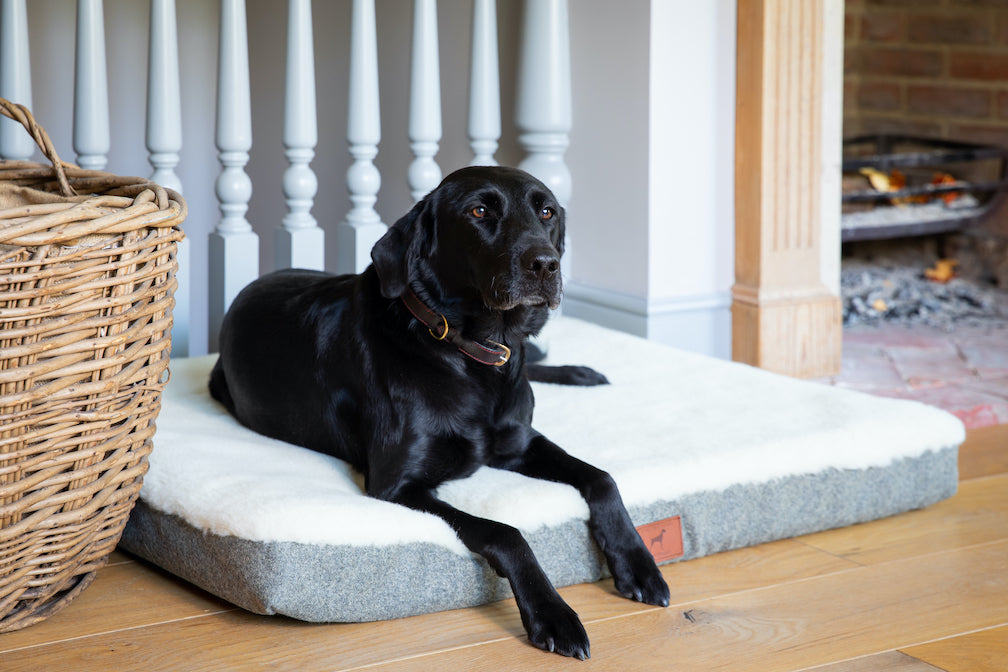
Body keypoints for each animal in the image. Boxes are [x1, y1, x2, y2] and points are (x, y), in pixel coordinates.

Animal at [209, 165, 669, 660]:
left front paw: (640, 566)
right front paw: (554, 615)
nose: (546, 264)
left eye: (546, 211)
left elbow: (602, 479)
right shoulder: (397, 485)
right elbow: (505, 532)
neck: (472, 354)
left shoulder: (519, 442)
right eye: (479, 211)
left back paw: (579, 371)